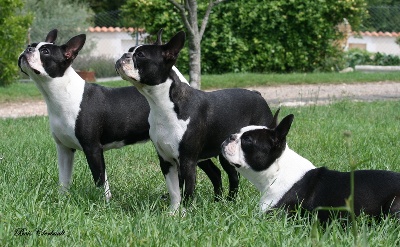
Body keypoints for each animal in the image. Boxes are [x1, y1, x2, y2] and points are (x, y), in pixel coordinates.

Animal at [18, 29, 230, 203]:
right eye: (32, 45)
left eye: (45, 52)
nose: (27, 49)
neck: (61, 93)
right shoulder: (64, 149)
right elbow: (64, 179)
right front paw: (62, 201)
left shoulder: (92, 148)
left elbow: (100, 180)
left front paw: (104, 204)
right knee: (214, 172)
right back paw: (217, 200)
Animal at [114, 30, 274, 212]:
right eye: (130, 50)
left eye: (140, 55)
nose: (123, 56)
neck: (162, 104)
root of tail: (258, 94)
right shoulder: (166, 160)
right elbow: (174, 191)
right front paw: (172, 213)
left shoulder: (187, 161)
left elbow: (187, 190)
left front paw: (184, 213)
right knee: (217, 173)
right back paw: (219, 202)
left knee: (233, 176)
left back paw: (230, 202)